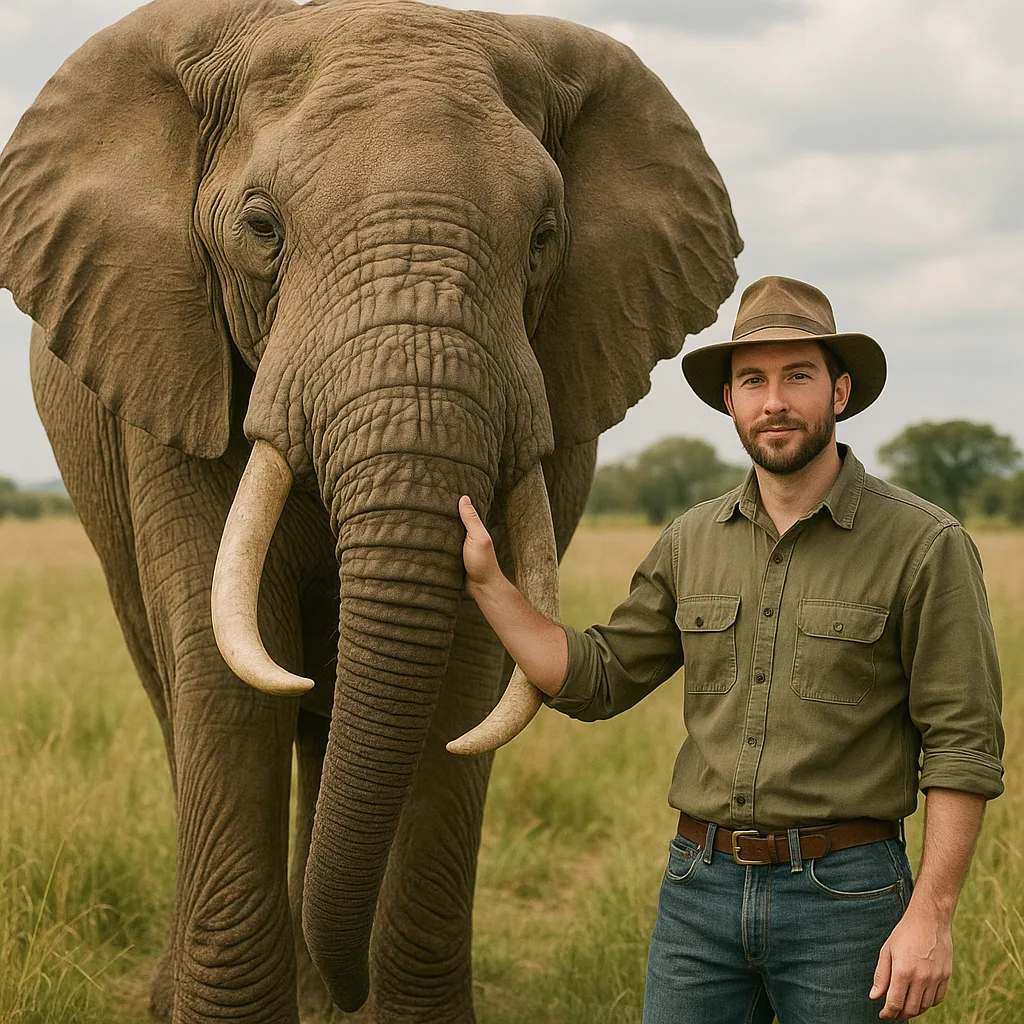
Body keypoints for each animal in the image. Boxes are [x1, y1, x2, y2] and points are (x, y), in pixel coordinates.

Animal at [0, 0, 741, 1021]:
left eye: (544, 237)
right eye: (261, 228)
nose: (353, 988)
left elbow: (467, 676)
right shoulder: (169, 362)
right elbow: (226, 680)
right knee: (181, 691)